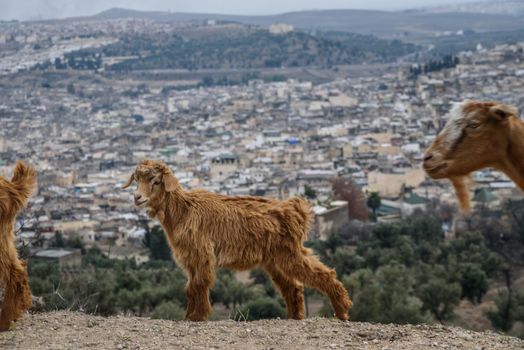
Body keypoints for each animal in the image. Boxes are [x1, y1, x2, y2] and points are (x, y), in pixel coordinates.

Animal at [123, 160, 352, 322]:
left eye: (156, 181)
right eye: (136, 180)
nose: (137, 198)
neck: (184, 211)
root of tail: (296, 209)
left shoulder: (202, 254)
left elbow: (200, 283)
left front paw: (198, 316)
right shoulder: (190, 259)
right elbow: (190, 287)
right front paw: (188, 316)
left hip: (288, 253)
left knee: (320, 273)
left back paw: (342, 311)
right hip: (275, 260)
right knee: (293, 287)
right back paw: (293, 317)